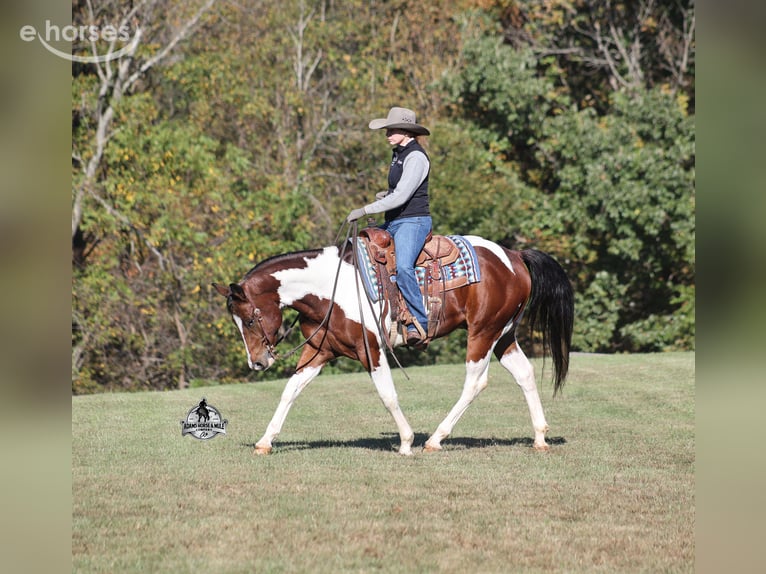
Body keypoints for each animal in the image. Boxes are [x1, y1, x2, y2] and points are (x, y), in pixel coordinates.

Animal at [213, 232, 573, 456]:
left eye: (249, 320)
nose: (257, 362)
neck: (330, 287)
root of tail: (513, 255)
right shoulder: (320, 350)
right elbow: (290, 390)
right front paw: (265, 441)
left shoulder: (370, 349)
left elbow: (387, 395)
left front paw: (405, 441)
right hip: (504, 335)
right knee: (524, 374)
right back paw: (539, 436)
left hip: (483, 332)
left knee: (475, 382)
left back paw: (435, 439)